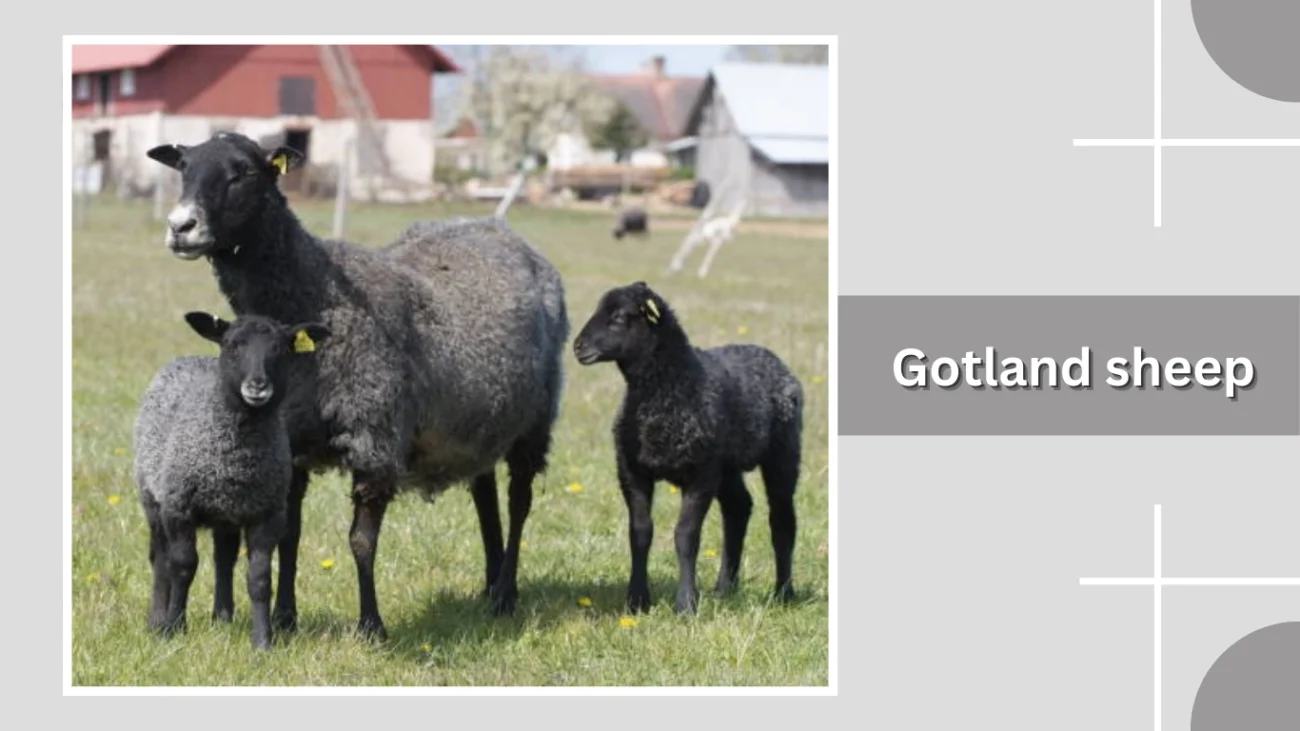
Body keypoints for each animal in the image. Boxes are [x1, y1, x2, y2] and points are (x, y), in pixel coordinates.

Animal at [134, 311, 332, 650]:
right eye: (232, 345)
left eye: (280, 348)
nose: (258, 386)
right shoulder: (179, 506)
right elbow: (183, 566)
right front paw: (174, 628)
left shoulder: (268, 514)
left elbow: (260, 577)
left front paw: (263, 641)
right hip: (153, 496)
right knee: (160, 558)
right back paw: (157, 621)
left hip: (225, 512)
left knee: (223, 557)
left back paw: (222, 616)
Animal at [571, 281, 802, 614]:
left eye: (619, 317)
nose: (578, 347)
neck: (671, 387)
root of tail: (770, 356)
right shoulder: (632, 471)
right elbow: (640, 533)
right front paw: (637, 600)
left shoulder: (699, 474)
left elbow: (686, 536)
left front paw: (686, 604)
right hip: (726, 465)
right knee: (738, 509)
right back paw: (724, 588)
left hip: (782, 452)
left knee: (782, 520)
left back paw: (783, 593)